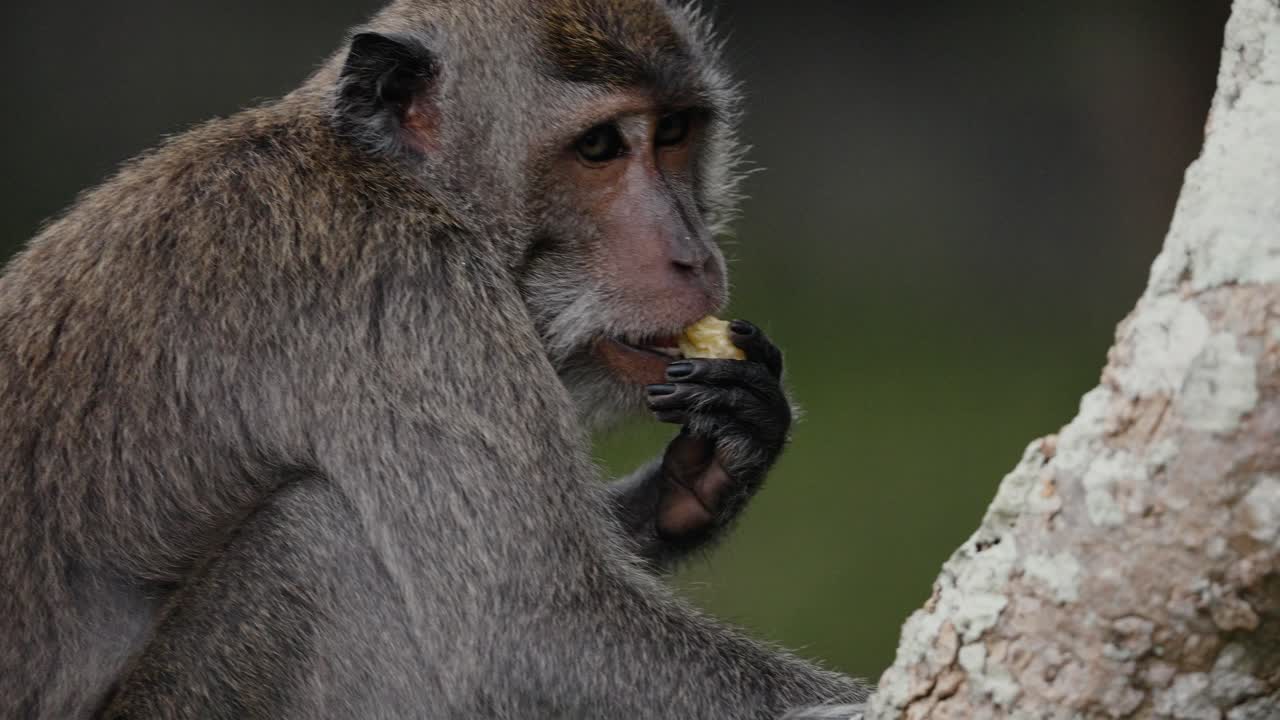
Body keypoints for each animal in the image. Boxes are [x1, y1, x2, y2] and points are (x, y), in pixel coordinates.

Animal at [0, 0, 872, 718]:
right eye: (599, 146)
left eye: (674, 133)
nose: (693, 254)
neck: (388, 170)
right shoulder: (406, 284)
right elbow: (543, 633)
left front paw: (708, 470)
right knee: (319, 537)